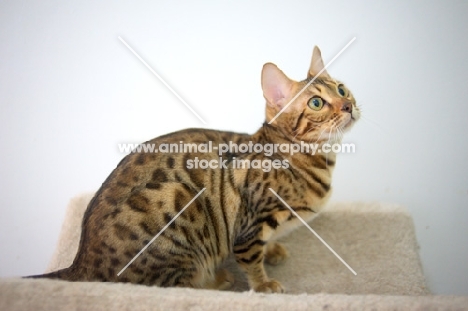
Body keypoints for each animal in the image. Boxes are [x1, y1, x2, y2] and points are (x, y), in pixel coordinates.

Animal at [29, 47, 358, 294]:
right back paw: (217, 279)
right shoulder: (249, 226)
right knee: (173, 285)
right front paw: (263, 285)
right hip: (183, 205)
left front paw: (274, 249)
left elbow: (266, 245)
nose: (348, 105)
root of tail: (81, 260)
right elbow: (251, 259)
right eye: (316, 102)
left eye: (342, 89)